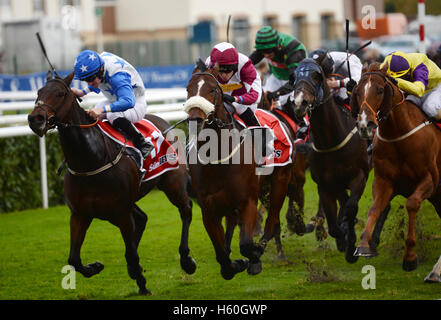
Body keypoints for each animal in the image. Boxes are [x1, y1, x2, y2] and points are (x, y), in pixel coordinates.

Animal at [27, 70, 196, 296]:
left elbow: (131, 253)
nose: (35, 119)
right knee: (142, 219)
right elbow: (73, 259)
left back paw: (186, 259)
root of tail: (164, 122)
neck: (91, 159)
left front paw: (142, 283)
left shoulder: (121, 213)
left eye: (60, 93)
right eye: (39, 92)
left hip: (172, 183)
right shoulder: (80, 214)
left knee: (186, 210)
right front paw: (95, 267)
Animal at [292, 57, 372, 262]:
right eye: (294, 76)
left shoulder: (359, 176)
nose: (300, 102)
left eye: (316, 76)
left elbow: (351, 208)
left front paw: (351, 246)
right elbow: (335, 225)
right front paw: (342, 238)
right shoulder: (325, 185)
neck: (332, 139)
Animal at [350, 62, 440, 270]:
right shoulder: (384, 181)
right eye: (357, 91)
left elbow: (412, 203)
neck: (399, 136)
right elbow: (375, 208)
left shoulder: (430, 180)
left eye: (380, 90)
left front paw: (410, 257)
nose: (365, 124)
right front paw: (364, 245)